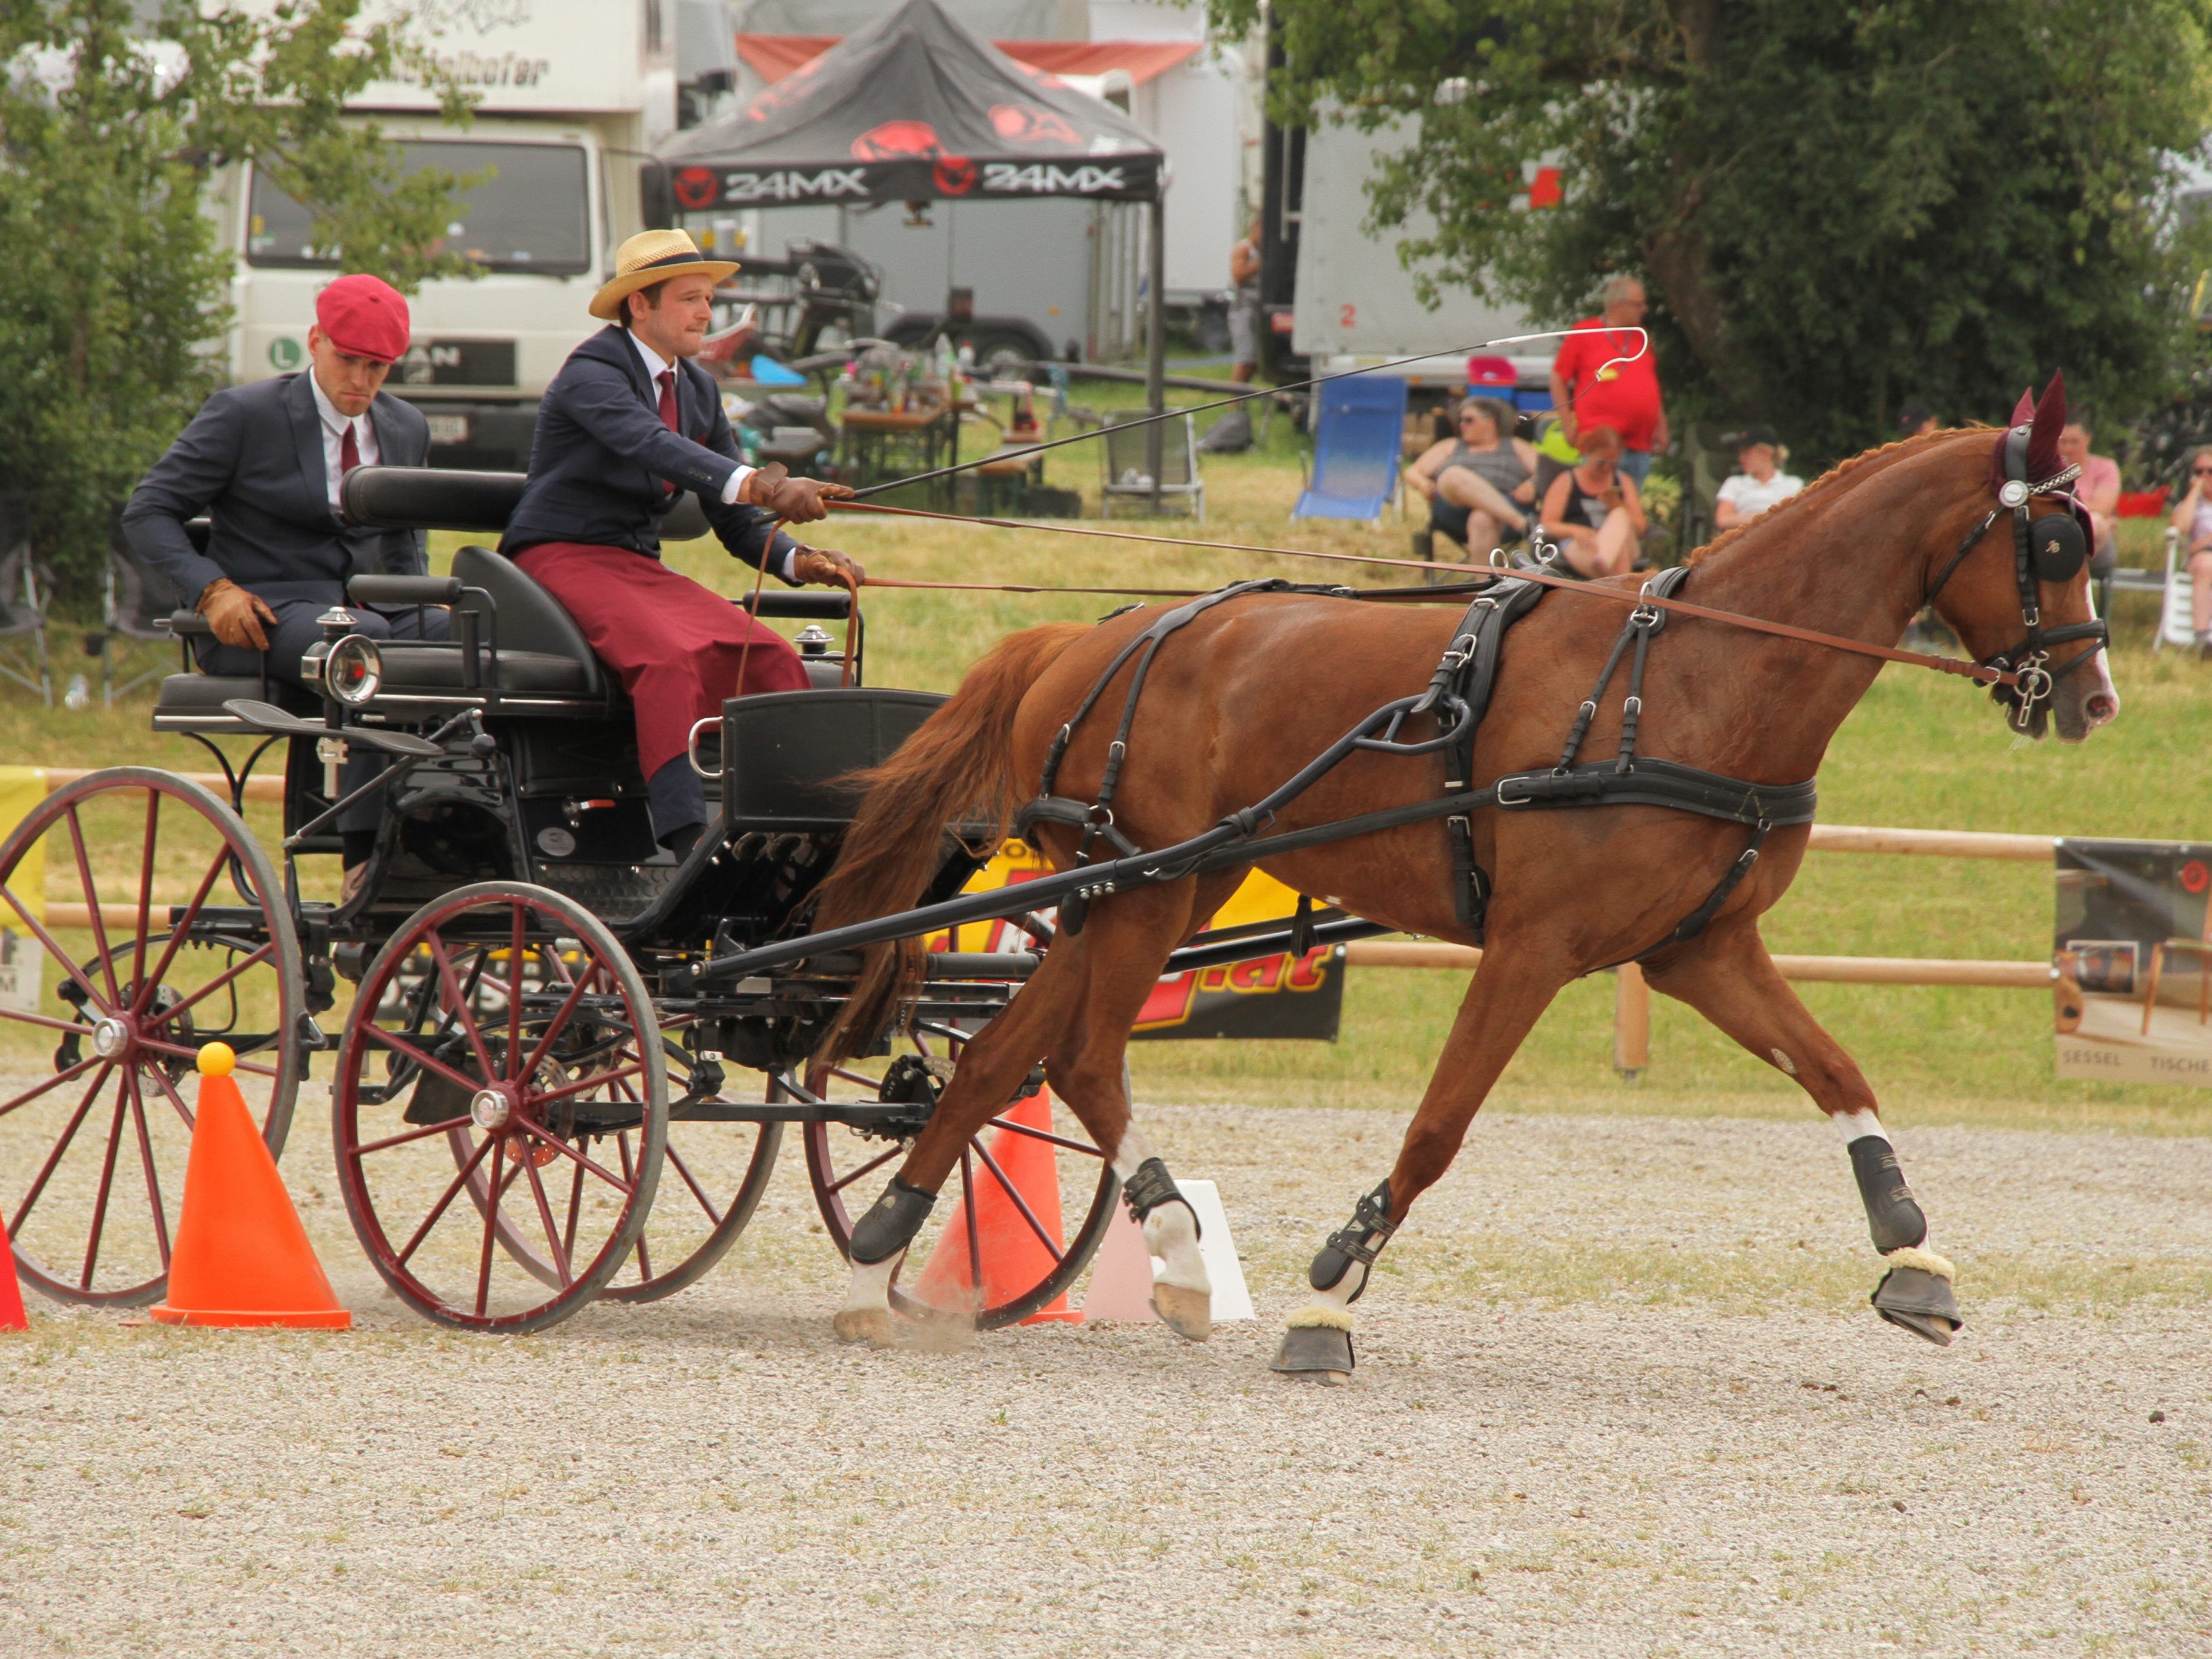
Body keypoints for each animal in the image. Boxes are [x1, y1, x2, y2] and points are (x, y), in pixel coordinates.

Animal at [809, 393, 2106, 1380]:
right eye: (2051, 548)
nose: (2091, 699)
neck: (1692, 672)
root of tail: (1085, 638)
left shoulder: (1699, 947)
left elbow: (1835, 1070)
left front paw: (1909, 1251)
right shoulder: (1534, 946)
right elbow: (1437, 1126)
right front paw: (1328, 1295)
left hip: (1154, 883)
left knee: (1000, 1052)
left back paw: (887, 1249)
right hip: (1140, 888)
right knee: (1079, 1056)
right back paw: (1172, 1251)